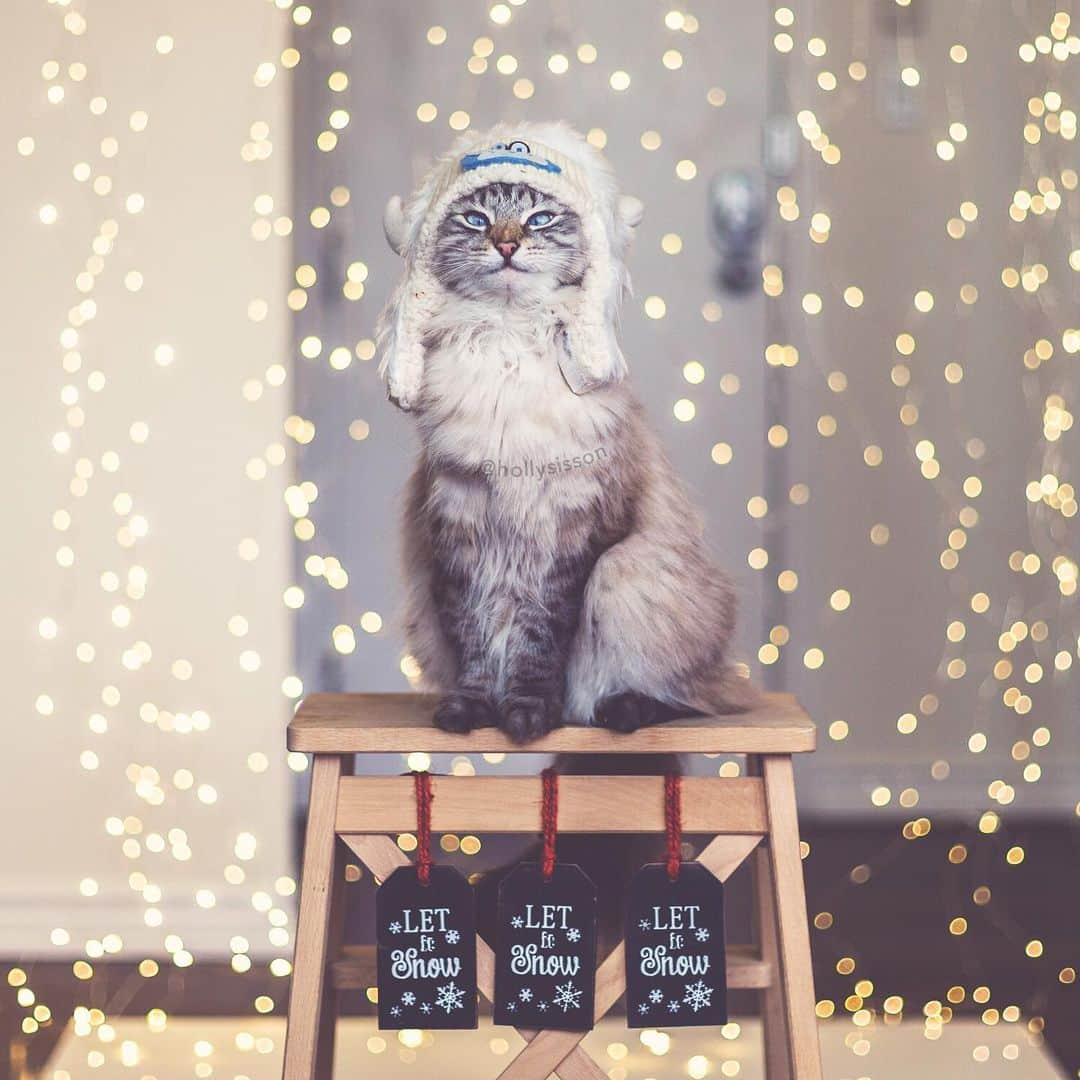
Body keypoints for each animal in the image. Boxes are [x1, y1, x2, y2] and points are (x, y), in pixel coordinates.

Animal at [380, 124, 751, 743]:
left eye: (540, 220)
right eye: (477, 219)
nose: (506, 246)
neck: (507, 344)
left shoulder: (567, 538)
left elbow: (537, 644)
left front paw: (528, 717)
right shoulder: (459, 532)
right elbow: (476, 644)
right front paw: (470, 711)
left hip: (626, 574)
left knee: (688, 701)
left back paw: (617, 711)